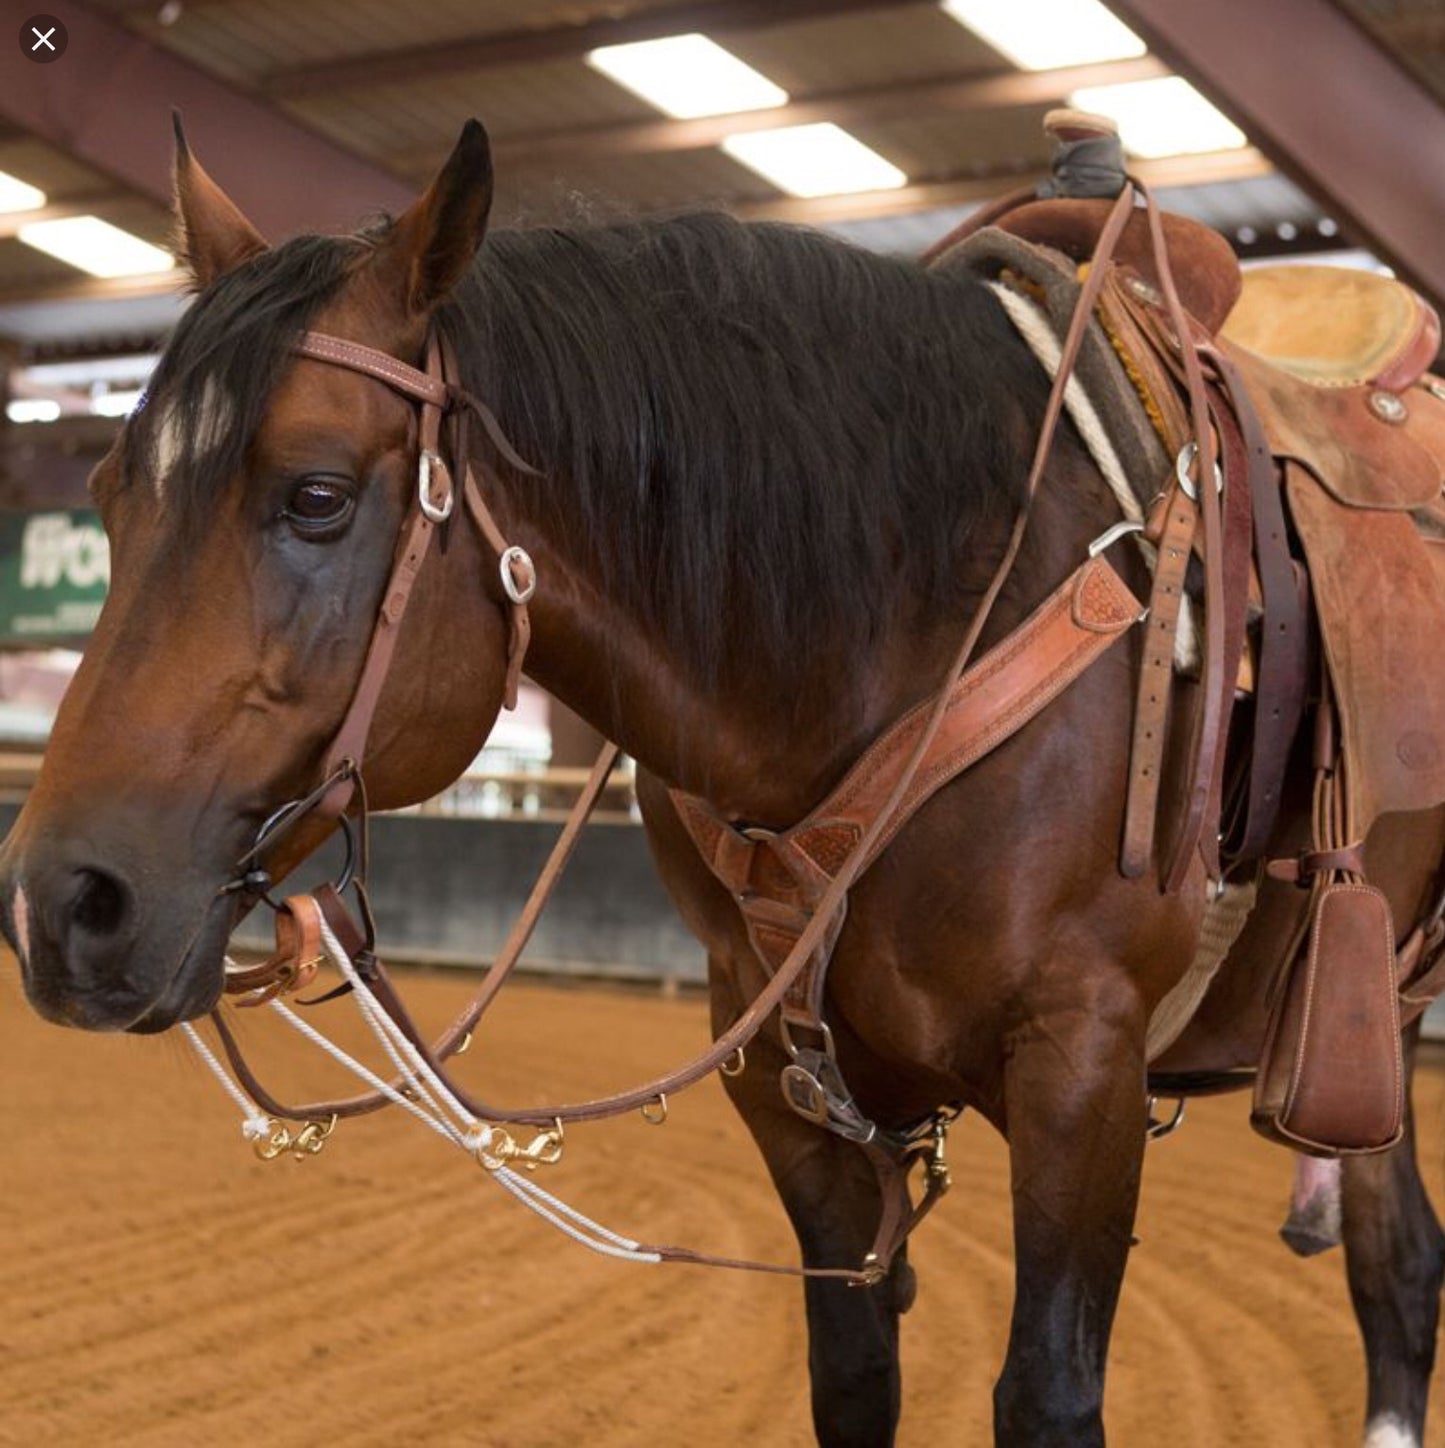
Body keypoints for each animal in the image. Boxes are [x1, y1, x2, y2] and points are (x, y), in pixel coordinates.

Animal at [2, 118, 1445, 1442]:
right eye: (111, 496)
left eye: (313, 495)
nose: (61, 904)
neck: (930, 610)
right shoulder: (782, 1080)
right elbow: (852, 1376)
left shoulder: (1080, 1066)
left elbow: (1045, 1393)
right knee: (1398, 1264)